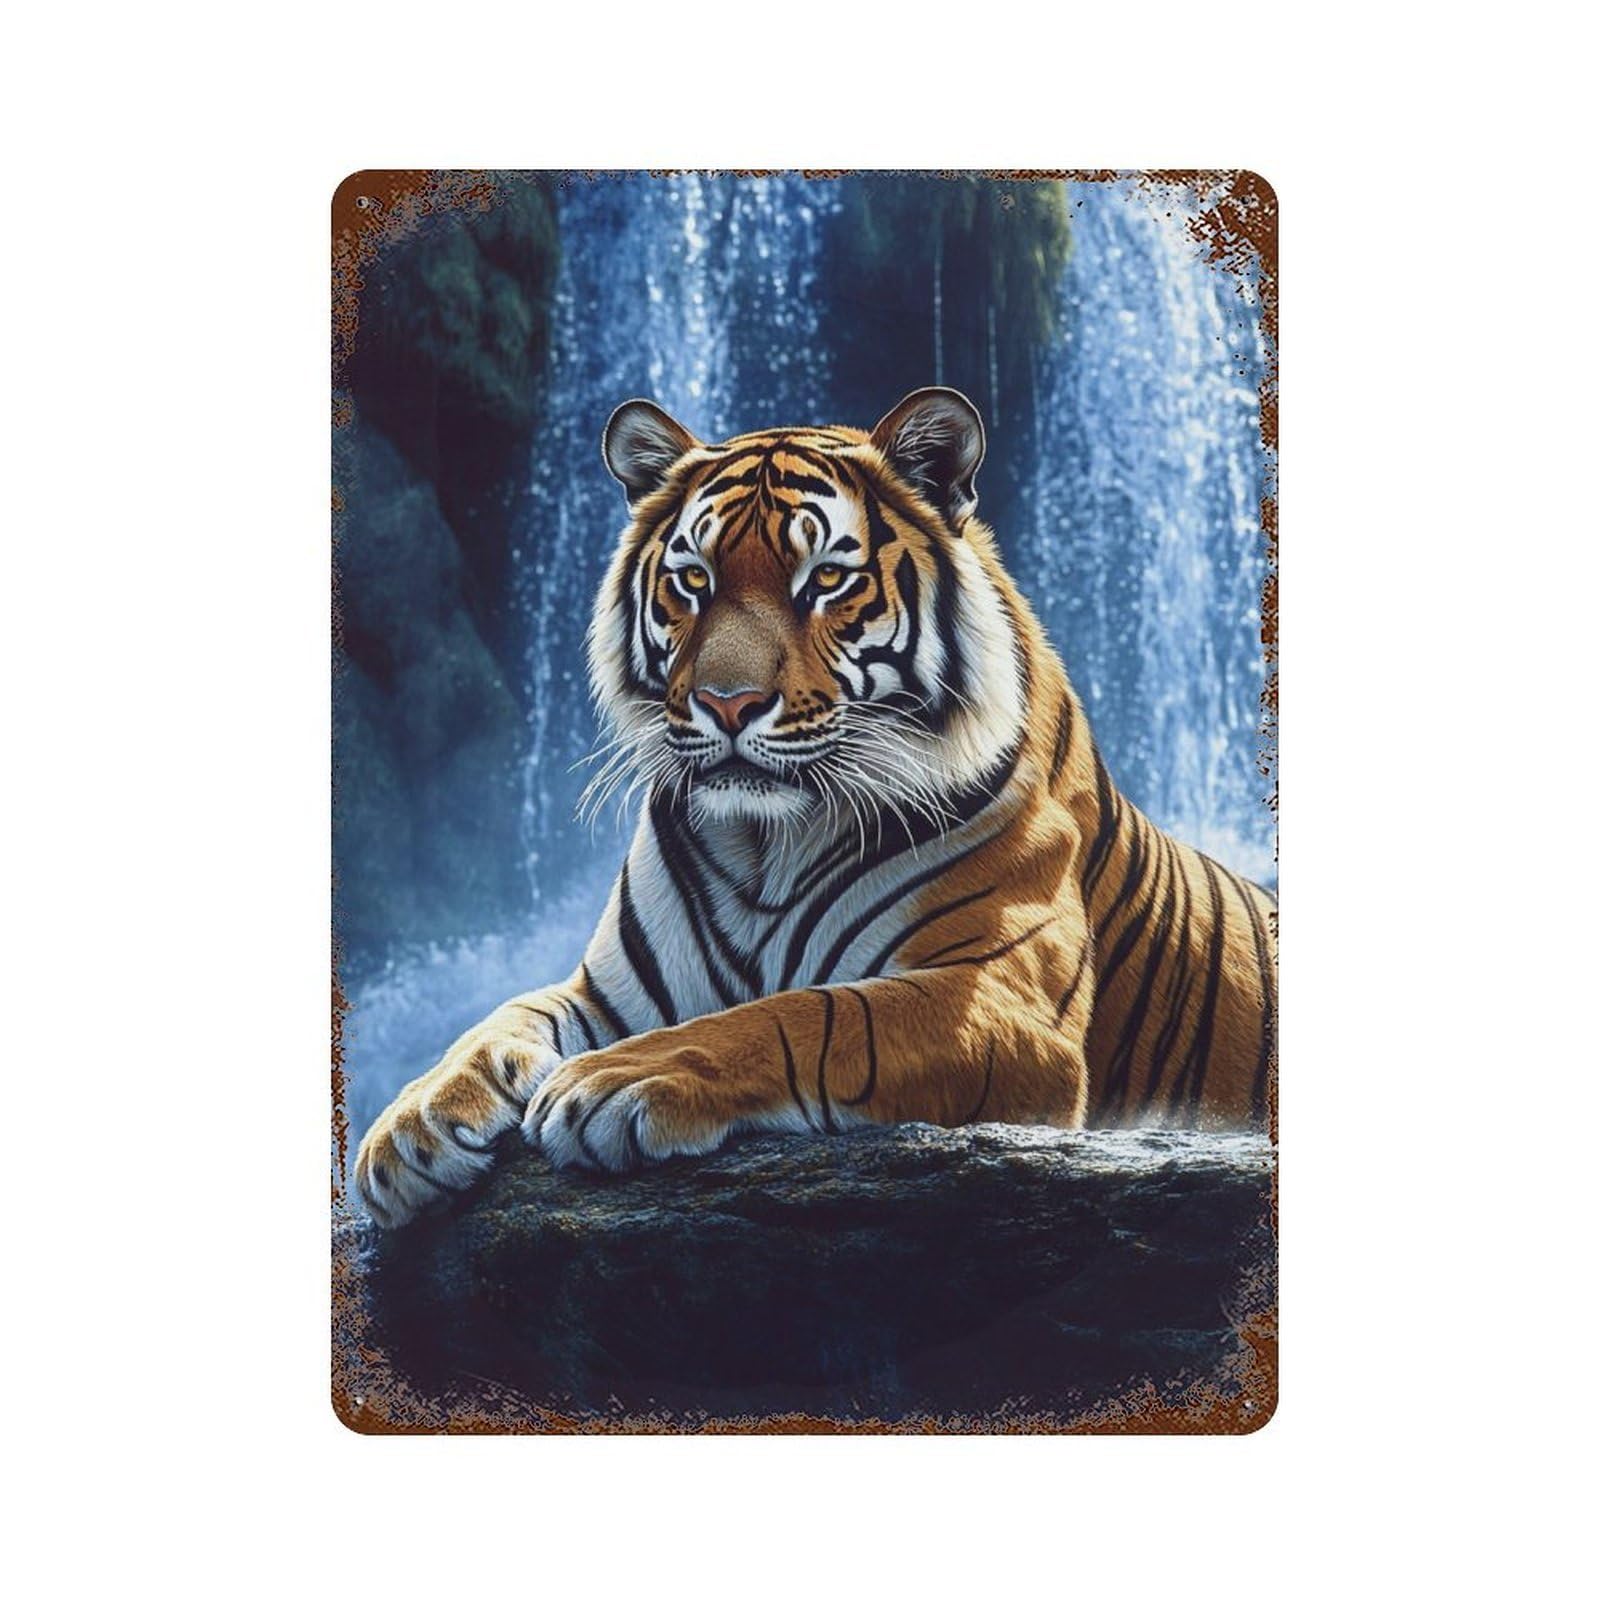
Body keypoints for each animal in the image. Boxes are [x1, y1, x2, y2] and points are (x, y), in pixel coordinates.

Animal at [354, 387, 1277, 1228]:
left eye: (826, 580)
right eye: (694, 581)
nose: (726, 704)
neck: (767, 844)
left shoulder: (995, 1000)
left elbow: (808, 1014)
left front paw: (617, 1080)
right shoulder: (613, 994)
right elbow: (505, 1016)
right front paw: (414, 1122)